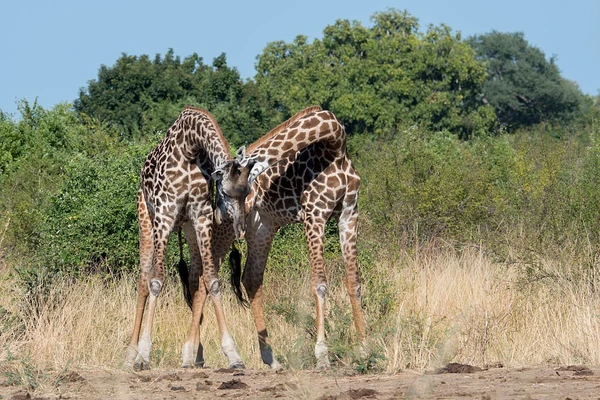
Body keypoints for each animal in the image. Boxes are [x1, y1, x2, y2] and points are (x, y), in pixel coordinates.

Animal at [125, 107, 256, 372]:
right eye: (225, 192)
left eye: (246, 191)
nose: (239, 228)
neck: (190, 147)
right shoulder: (165, 213)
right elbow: (156, 281)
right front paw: (144, 355)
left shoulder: (201, 215)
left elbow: (212, 281)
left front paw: (233, 355)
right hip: (146, 222)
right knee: (143, 280)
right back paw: (130, 355)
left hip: (187, 228)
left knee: (195, 280)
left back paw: (192, 357)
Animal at [234, 105, 366, 368]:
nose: (234, 201)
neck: (335, 145)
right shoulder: (315, 214)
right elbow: (320, 284)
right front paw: (322, 355)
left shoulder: (349, 214)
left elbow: (353, 282)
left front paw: (365, 348)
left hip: (262, 227)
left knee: (251, 278)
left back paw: (271, 358)